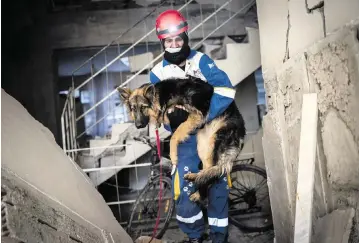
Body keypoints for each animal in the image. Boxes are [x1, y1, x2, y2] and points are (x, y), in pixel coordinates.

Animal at [116, 77, 246, 202]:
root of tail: (242, 130)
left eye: (143, 107)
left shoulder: (195, 115)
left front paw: (173, 158)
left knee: (216, 170)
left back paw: (199, 189)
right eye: (133, 108)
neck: (161, 97)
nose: (138, 125)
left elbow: (174, 136)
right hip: (203, 145)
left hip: (215, 142)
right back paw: (197, 183)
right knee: (208, 169)